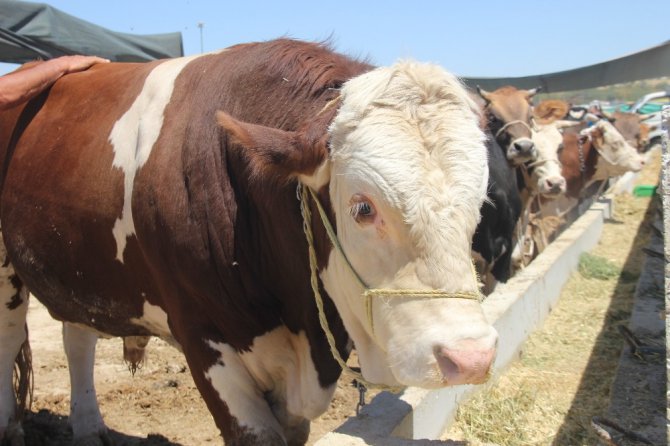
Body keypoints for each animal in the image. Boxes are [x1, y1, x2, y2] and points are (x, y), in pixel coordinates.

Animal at [0, 39, 498, 446]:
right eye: (362, 208)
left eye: (481, 201)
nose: (470, 358)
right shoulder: (201, 335)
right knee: (9, 335)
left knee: (77, 336)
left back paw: (88, 428)